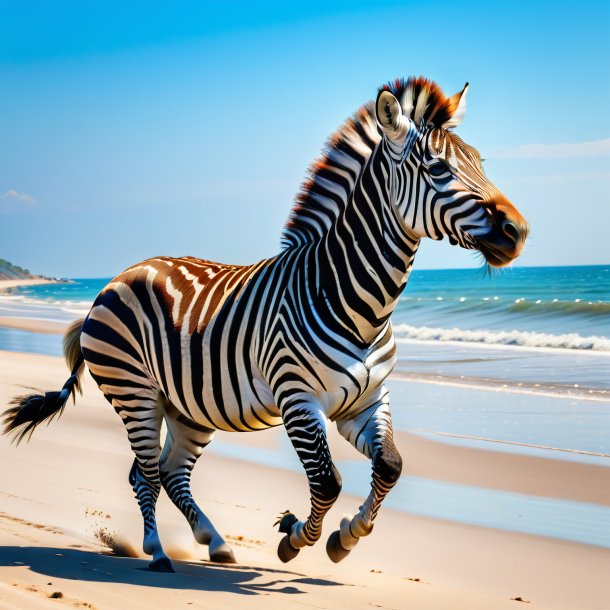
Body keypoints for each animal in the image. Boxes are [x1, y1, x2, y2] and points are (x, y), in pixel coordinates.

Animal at [2, 76, 524, 568]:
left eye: (482, 164)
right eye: (438, 169)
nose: (517, 231)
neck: (357, 302)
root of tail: (114, 280)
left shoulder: (366, 400)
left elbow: (390, 466)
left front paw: (346, 537)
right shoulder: (298, 400)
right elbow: (328, 482)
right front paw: (295, 538)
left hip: (186, 406)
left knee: (169, 471)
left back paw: (214, 543)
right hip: (135, 393)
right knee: (146, 472)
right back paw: (157, 552)